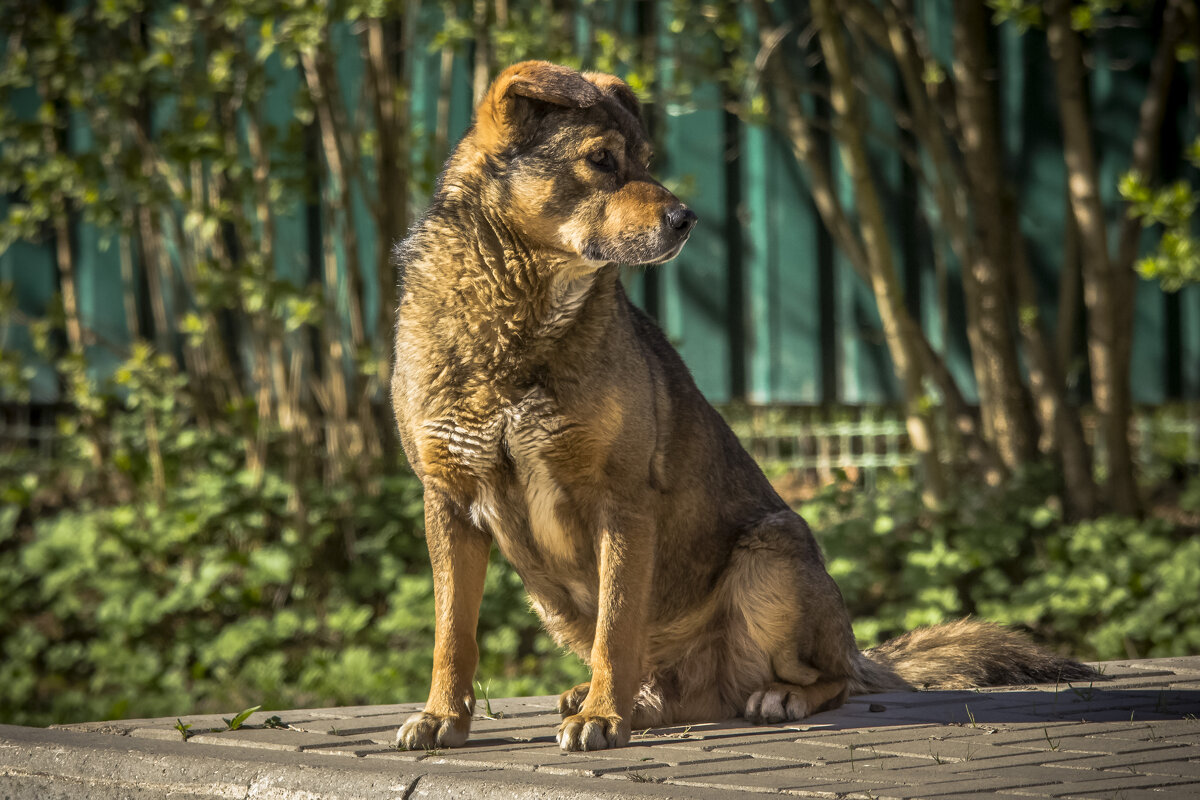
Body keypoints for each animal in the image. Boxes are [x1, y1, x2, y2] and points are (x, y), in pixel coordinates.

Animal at [386, 61, 1099, 753]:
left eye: (645, 159)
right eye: (601, 159)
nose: (686, 220)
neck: (516, 321)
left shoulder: (620, 500)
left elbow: (617, 627)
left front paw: (603, 718)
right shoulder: (447, 502)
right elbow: (453, 632)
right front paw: (442, 715)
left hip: (771, 553)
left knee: (830, 679)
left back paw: (760, 698)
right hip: (556, 600)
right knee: (664, 683)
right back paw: (618, 699)